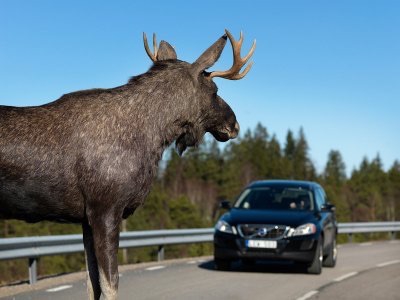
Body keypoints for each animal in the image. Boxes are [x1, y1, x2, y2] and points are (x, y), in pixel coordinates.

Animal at [0, 29, 256, 298]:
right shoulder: (105, 209)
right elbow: (109, 284)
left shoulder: (85, 218)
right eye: (215, 90)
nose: (234, 124)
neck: (152, 137)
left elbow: (92, 284)